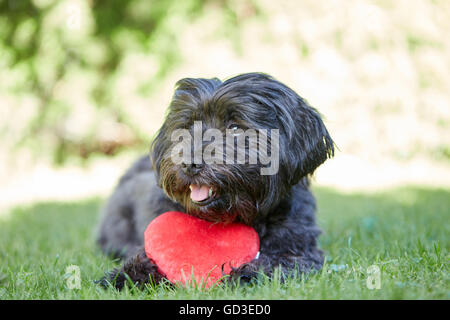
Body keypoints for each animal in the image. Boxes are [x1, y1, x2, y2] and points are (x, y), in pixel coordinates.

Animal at [97, 73, 334, 290]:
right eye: (188, 126)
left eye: (235, 128)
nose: (189, 163)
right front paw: (128, 275)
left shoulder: (299, 246)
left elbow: (281, 261)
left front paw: (245, 273)